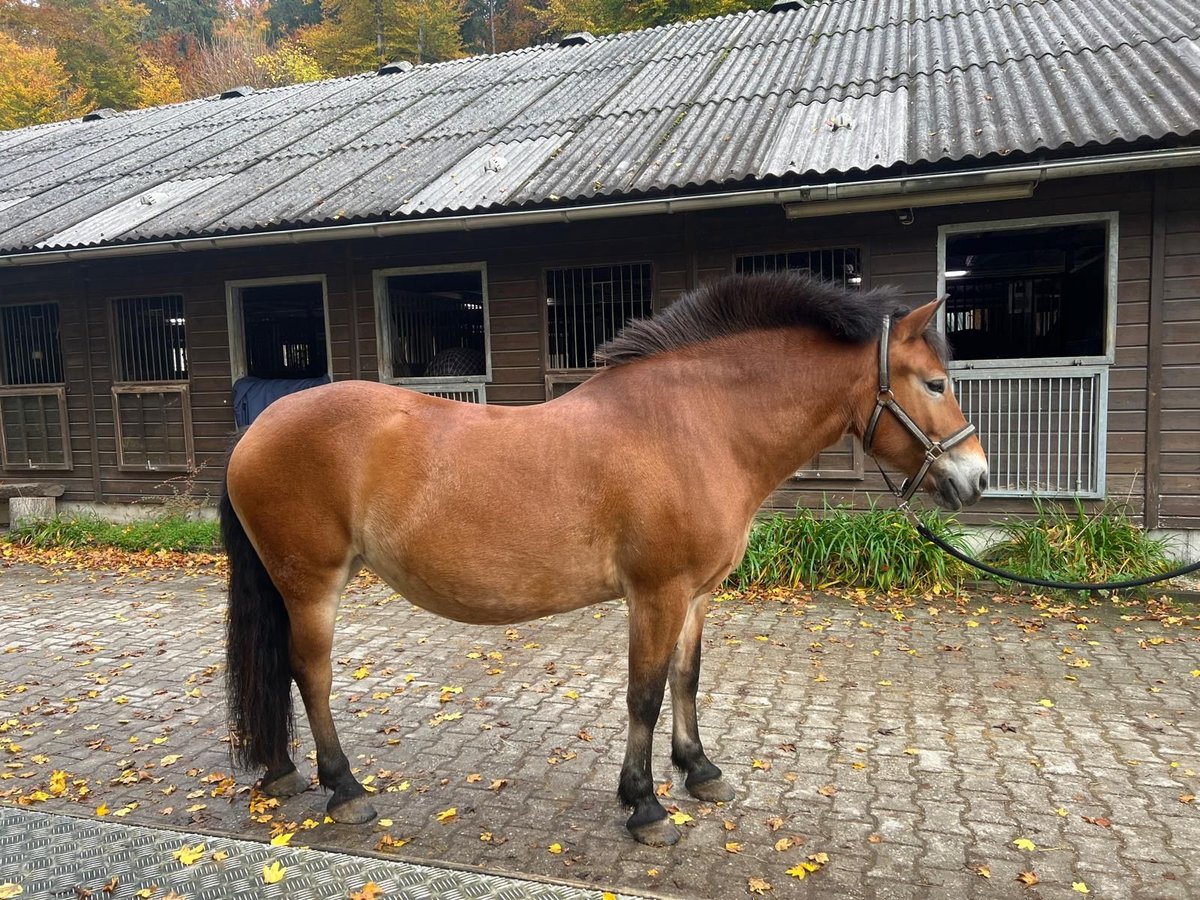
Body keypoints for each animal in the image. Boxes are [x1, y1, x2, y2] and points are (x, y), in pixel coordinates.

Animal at [220, 272, 989, 846]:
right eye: (934, 384)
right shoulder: (656, 593)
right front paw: (644, 805)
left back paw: (283, 772)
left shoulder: (696, 595)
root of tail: (260, 426)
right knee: (309, 673)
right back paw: (344, 788)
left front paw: (699, 770)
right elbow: (643, 693)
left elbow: (685, 679)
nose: (976, 478)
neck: (698, 424)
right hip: (311, 584)